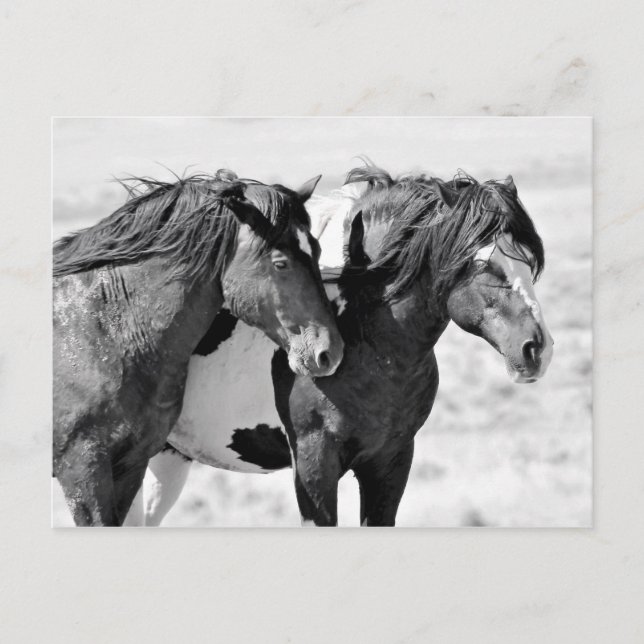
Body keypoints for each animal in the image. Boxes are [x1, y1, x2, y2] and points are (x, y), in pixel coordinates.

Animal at [53, 170, 344, 526]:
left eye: (316, 250)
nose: (329, 352)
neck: (102, 330)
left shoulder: (129, 466)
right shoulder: (83, 471)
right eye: (280, 264)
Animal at [128, 165, 553, 527]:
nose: (538, 350)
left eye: (527, 261)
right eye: (484, 263)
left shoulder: (391, 461)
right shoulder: (315, 463)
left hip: (168, 459)